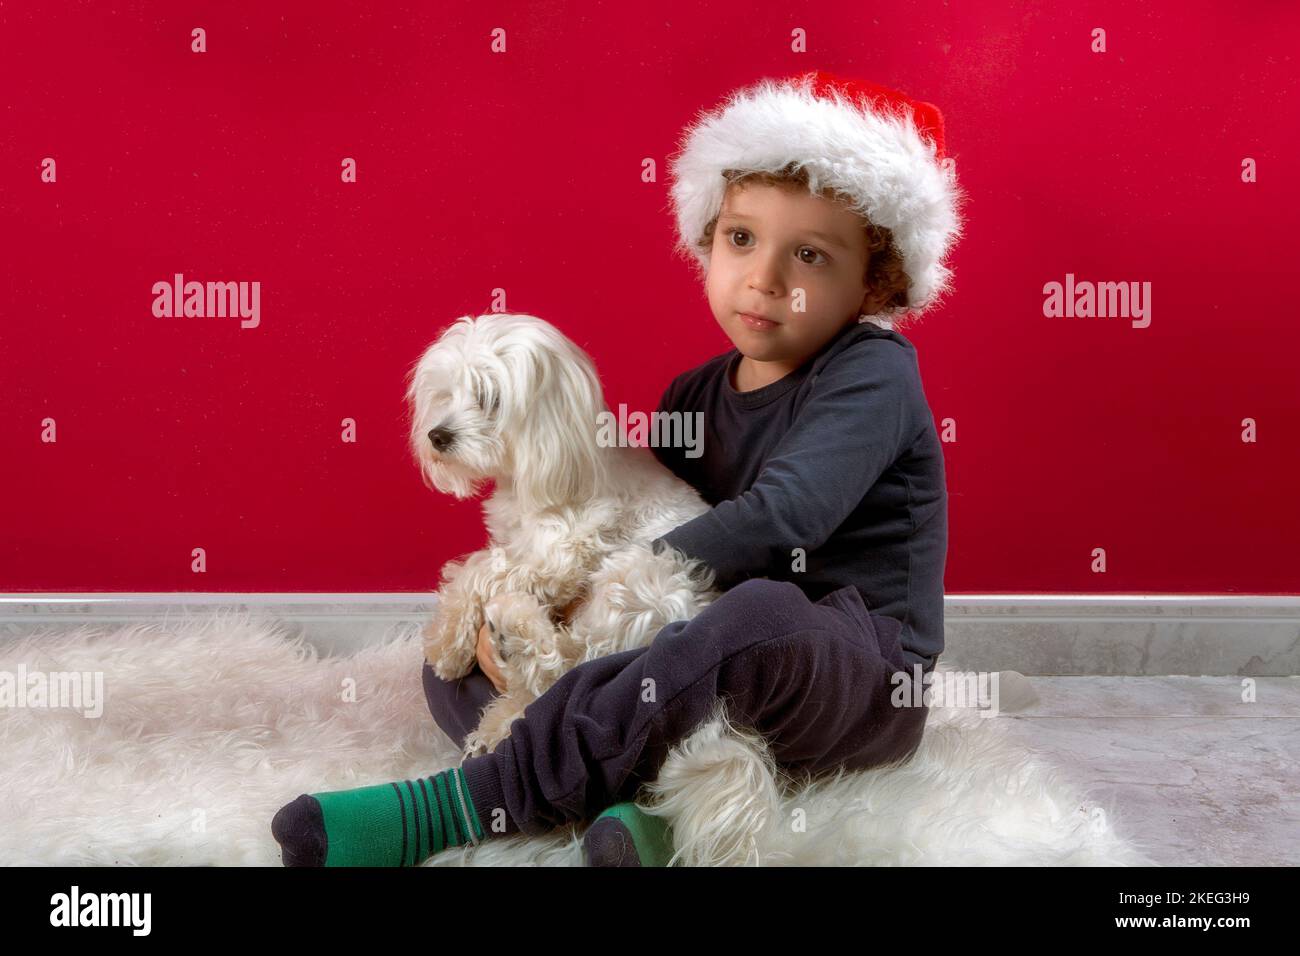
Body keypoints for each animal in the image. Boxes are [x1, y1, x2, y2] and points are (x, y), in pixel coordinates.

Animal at [405, 316, 785, 868]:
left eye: (489, 398)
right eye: (446, 393)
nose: (438, 435)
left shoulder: (562, 554)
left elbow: (481, 567)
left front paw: (447, 642)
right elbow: (484, 563)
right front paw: (456, 641)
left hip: (640, 577)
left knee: (562, 666)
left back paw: (515, 633)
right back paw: (498, 719)